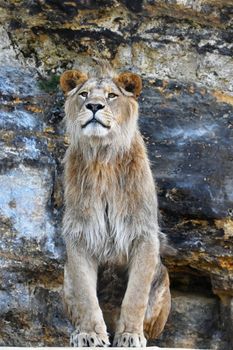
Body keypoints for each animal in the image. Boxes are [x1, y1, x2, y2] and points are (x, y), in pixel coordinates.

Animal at [60, 60, 171, 348]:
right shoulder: (80, 233)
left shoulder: (144, 234)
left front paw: (130, 336)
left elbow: (135, 296)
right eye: (84, 94)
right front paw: (89, 335)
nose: (94, 106)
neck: (102, 160)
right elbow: (86, 297)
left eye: (111, 96)